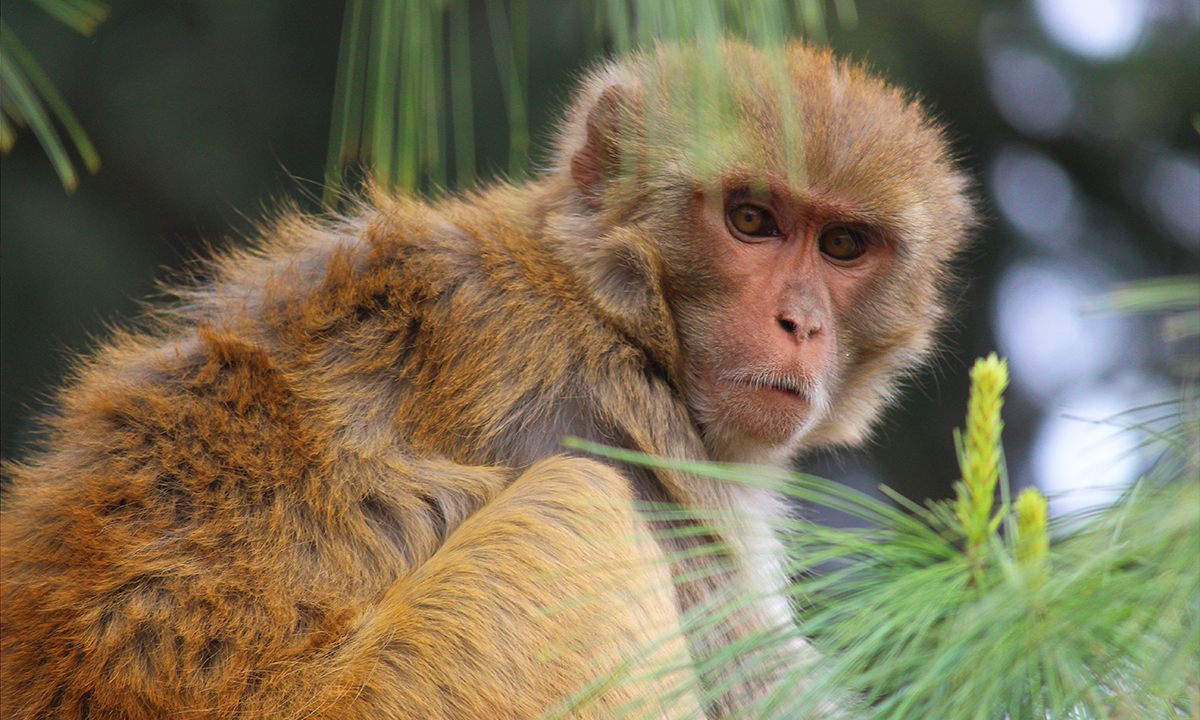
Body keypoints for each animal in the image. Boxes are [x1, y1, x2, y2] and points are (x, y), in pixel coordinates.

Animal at [0, 41, 974, 719]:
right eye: (751, 221)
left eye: (843, 245)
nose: (801, 325)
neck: (610, 296)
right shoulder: (600, 419)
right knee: (580, 508)